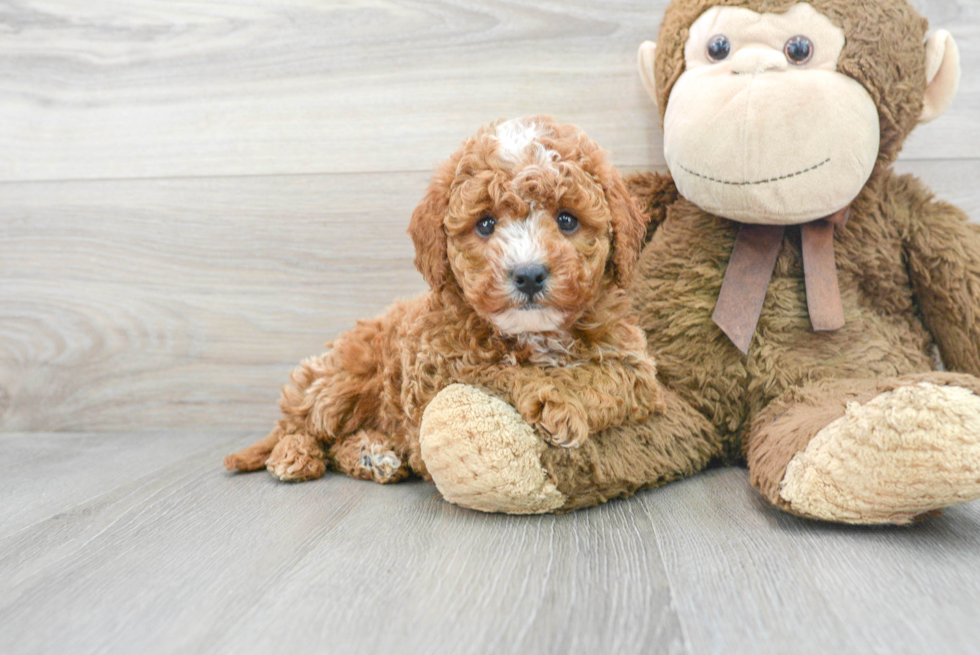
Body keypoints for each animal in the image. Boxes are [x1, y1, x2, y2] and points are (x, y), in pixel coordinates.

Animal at [226, 116, 664, 486]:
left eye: (568, 220)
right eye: (485, 224)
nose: (528, 274)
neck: (534, 335)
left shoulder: (635, 366)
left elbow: (605, 378)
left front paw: (563, 401)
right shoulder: (438, 371)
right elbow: (499, 372)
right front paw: (550, 402)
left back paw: (373, 455)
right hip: (341, 379)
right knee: (300, 427)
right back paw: (294, 457)